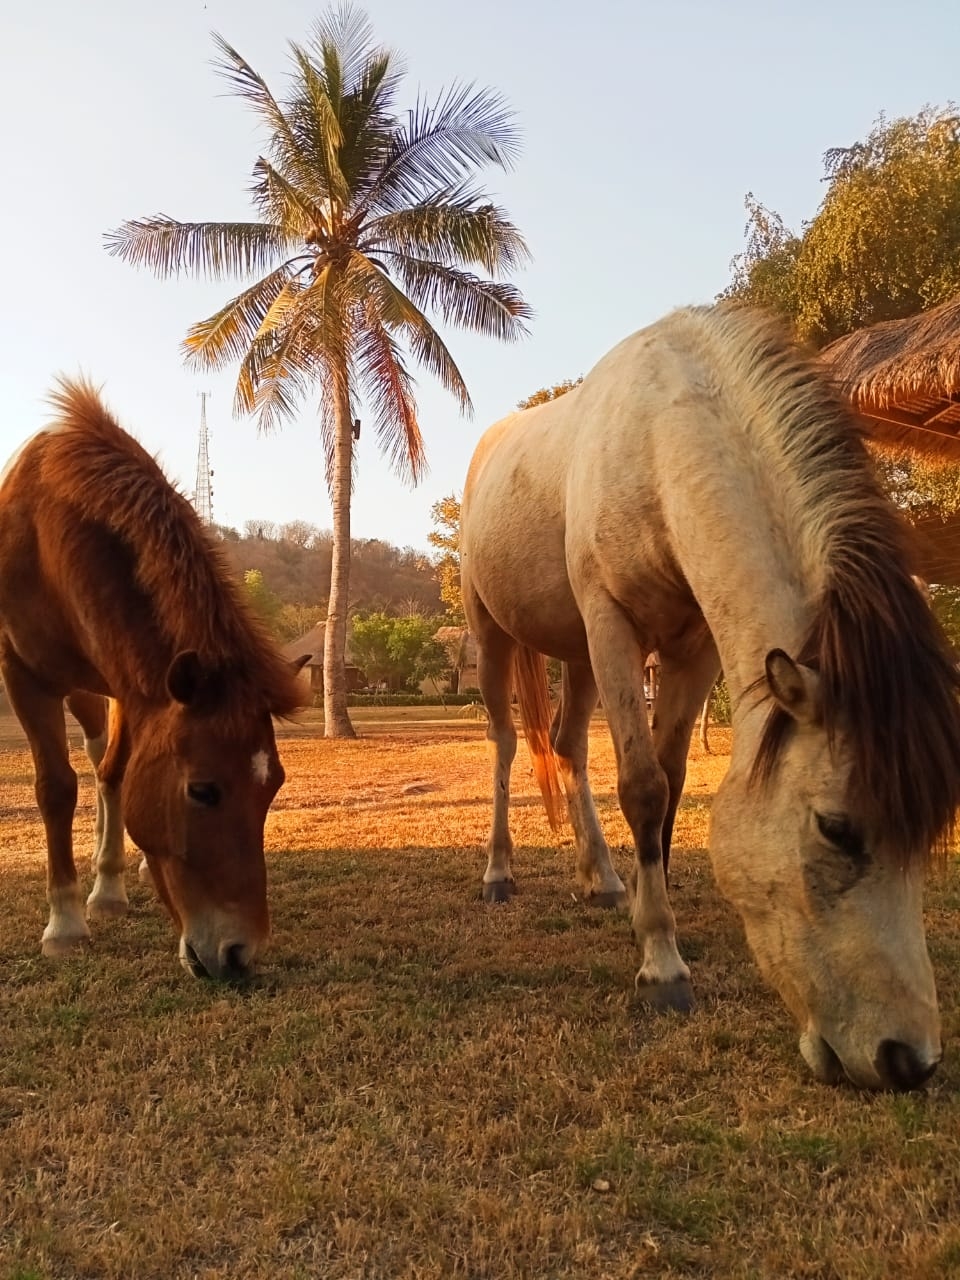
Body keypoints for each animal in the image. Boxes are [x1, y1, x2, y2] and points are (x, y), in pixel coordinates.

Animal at [0, 378, 308, 979]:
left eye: (274, 788)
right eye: (202, 791)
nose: (239, 955)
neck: (49, 539)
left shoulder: (134, 688)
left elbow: (117, 775)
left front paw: (109, 886)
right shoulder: (22, 674)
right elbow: (57, 787)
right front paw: (65, 923)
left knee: (105, 767)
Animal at [460, 303, 960, 1091]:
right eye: (835, 828)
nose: (907, 1060)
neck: (659, 439)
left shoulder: (691, 646)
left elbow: (670, 780)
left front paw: (649, 910)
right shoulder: (613, 622)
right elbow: (641, 786)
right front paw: (662, 968)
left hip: (575, 651)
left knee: (568, 747)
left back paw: (602, 879)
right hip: (494, 630)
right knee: (509, 747)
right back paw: (499, 873)